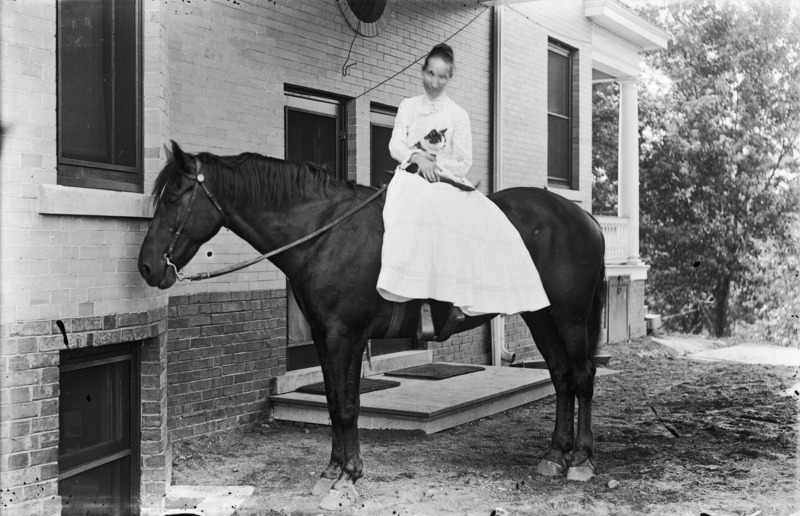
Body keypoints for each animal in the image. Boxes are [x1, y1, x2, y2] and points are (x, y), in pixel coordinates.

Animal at [138, 140, 604, 508]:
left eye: (174, 197)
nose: (146, 267)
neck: (324, 232)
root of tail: (584, 219)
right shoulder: (325, 337)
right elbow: (332, 401)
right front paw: (332, 471)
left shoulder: (345, 335)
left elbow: (347, 406)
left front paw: (348, 477)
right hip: (541, 317)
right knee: (561, 377)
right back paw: (554, 455)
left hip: (569, 317)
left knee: (581, 376)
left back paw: (580, 460)